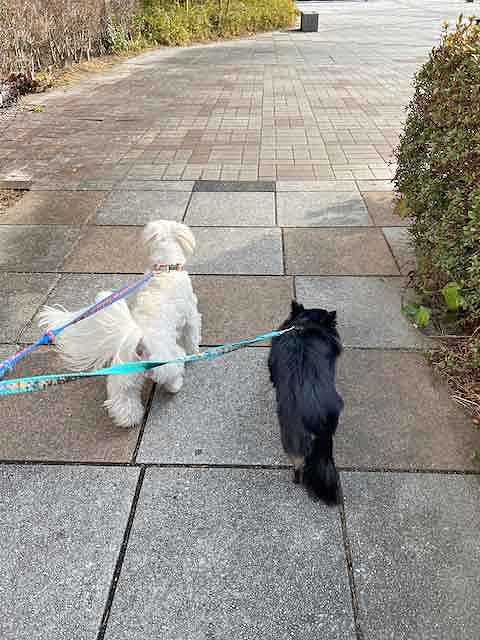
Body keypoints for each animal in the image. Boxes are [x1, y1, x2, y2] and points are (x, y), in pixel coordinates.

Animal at [39, 220, 201, 428]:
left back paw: (129, 419)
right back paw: (177, 385)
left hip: (124, 378)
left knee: (123, 400)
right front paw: (195, 352)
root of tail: (138, 342)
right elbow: (192, 336)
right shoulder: (191, 316)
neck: (166, 268)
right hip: (166, 362)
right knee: (171, 376)